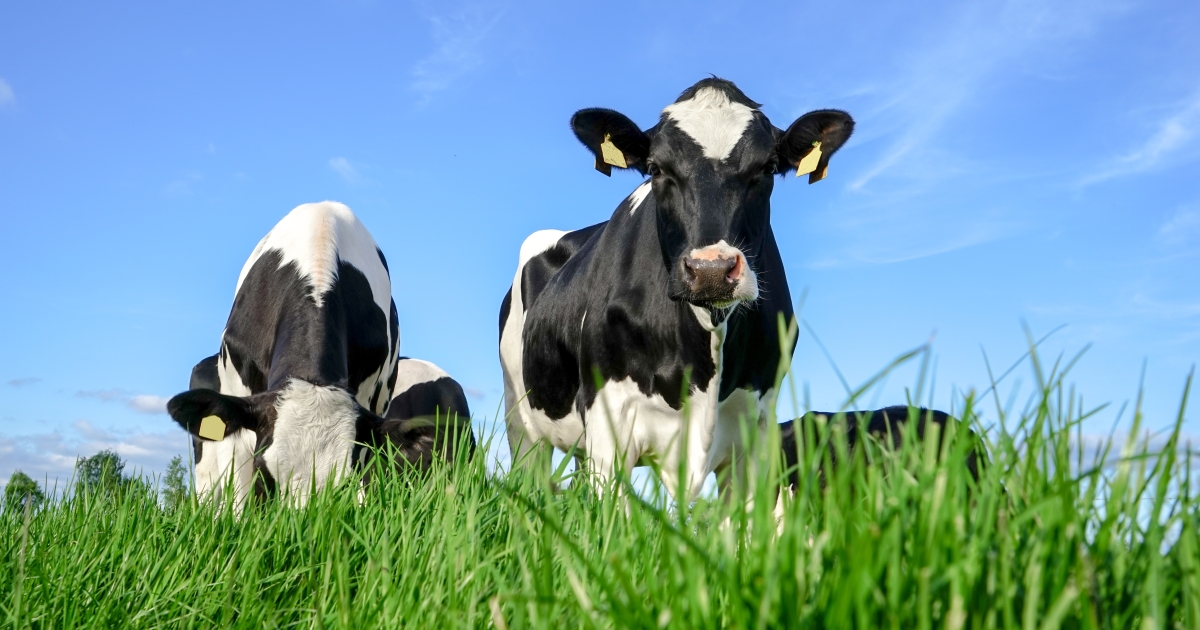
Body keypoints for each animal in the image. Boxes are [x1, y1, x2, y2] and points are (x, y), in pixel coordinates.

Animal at [499, 78, 854, 501]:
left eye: (767, 167)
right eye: (656, 168)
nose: (711, 269)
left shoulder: (757, 428)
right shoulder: (609, 421)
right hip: (522, 422)